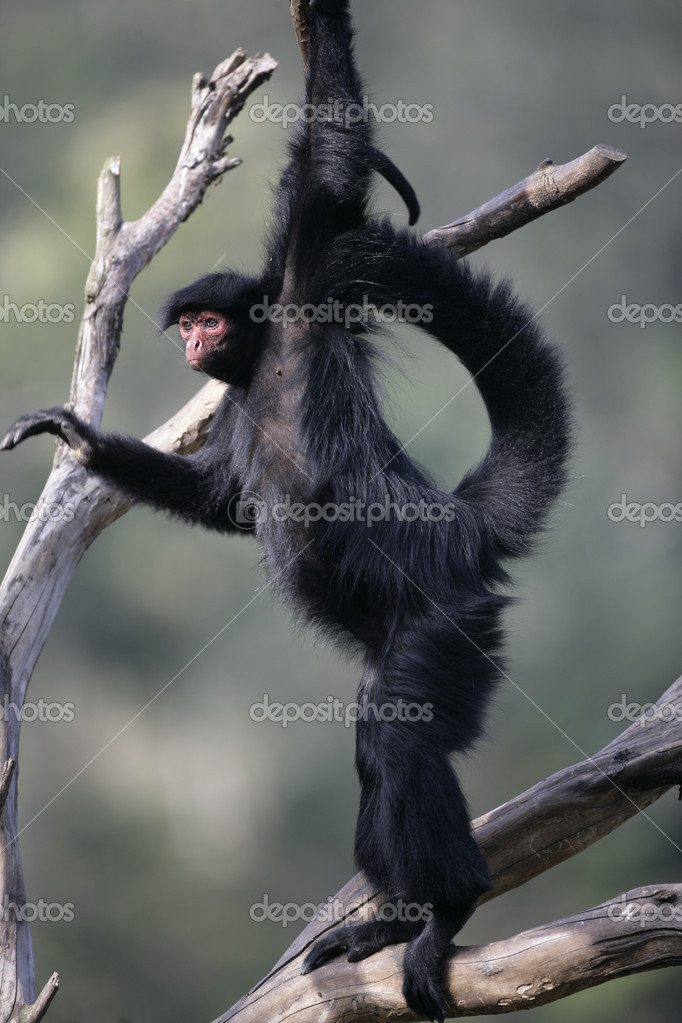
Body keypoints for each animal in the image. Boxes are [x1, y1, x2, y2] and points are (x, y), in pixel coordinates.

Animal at [2, 3, 572, 1018]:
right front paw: (78, 436)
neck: (260, 363)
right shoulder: (229, 401)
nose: (195, 339)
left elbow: (334, 171)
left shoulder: (307, 284)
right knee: (373, 743)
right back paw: (393, 920)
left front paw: (321, 22)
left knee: (395, 732)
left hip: (449, 620)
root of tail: (459, 526)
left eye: (209, 320)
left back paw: (447, 908)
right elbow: (227, 502)